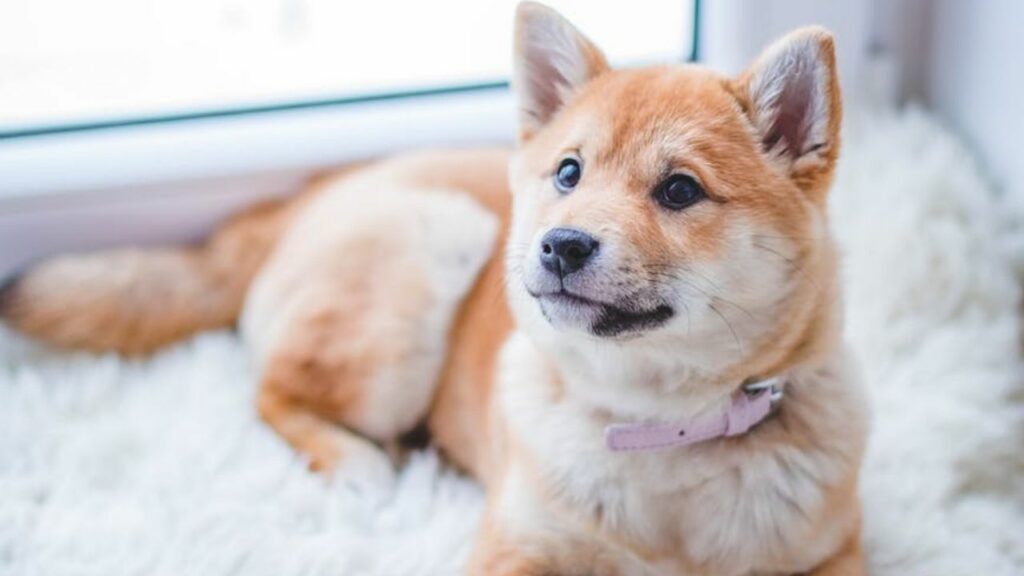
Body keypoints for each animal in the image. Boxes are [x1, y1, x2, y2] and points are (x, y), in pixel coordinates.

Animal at [0, 3, 868, 569]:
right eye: (568, 173)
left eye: (681, 190)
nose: (560, 245)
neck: (661, 430)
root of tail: (306, 196)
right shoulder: (518, 546)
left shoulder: (833, 555)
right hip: (423, 265)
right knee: (272, 392)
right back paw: (359, 461)